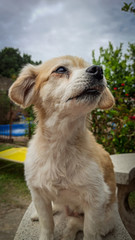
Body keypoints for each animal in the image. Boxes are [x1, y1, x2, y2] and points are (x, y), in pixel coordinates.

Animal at [8, 55, 116, 239]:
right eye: (60, 69)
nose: (98, 70)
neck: (60, 144)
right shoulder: (38, 194)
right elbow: (47, 224)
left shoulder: (96, 201)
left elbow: (89, 232)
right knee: (57, 209)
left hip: (103, 222)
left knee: (74, 224)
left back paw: (68, 232)